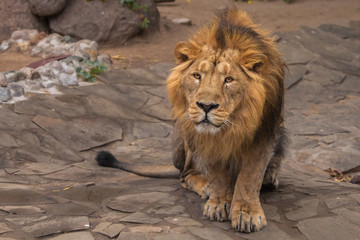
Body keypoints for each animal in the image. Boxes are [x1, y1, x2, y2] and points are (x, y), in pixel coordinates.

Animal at [96, 7, 286, 232]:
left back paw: (269, 177)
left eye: (229, 80)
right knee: (184, 175)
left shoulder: (265, 132)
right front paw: (219, 202)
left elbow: (250, 177)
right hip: (184, 131)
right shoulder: (205, 138)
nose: (206, 106)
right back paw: (205, 185)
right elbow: (217, 174)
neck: (231, 125)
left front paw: (246, 213)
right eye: (197, 76)